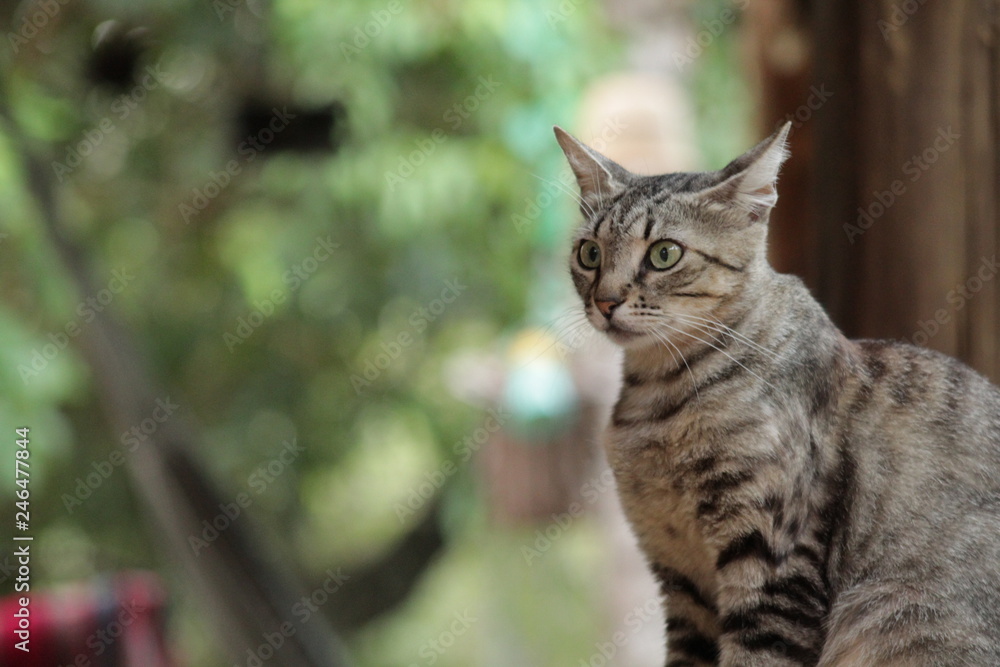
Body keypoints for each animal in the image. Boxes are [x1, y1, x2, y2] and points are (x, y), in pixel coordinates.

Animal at [552, 121, 1000, 667]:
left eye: (664, 254)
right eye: (589, 253)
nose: (605, 301)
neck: (658, 399)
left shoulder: (773, 564)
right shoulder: (681, 581)